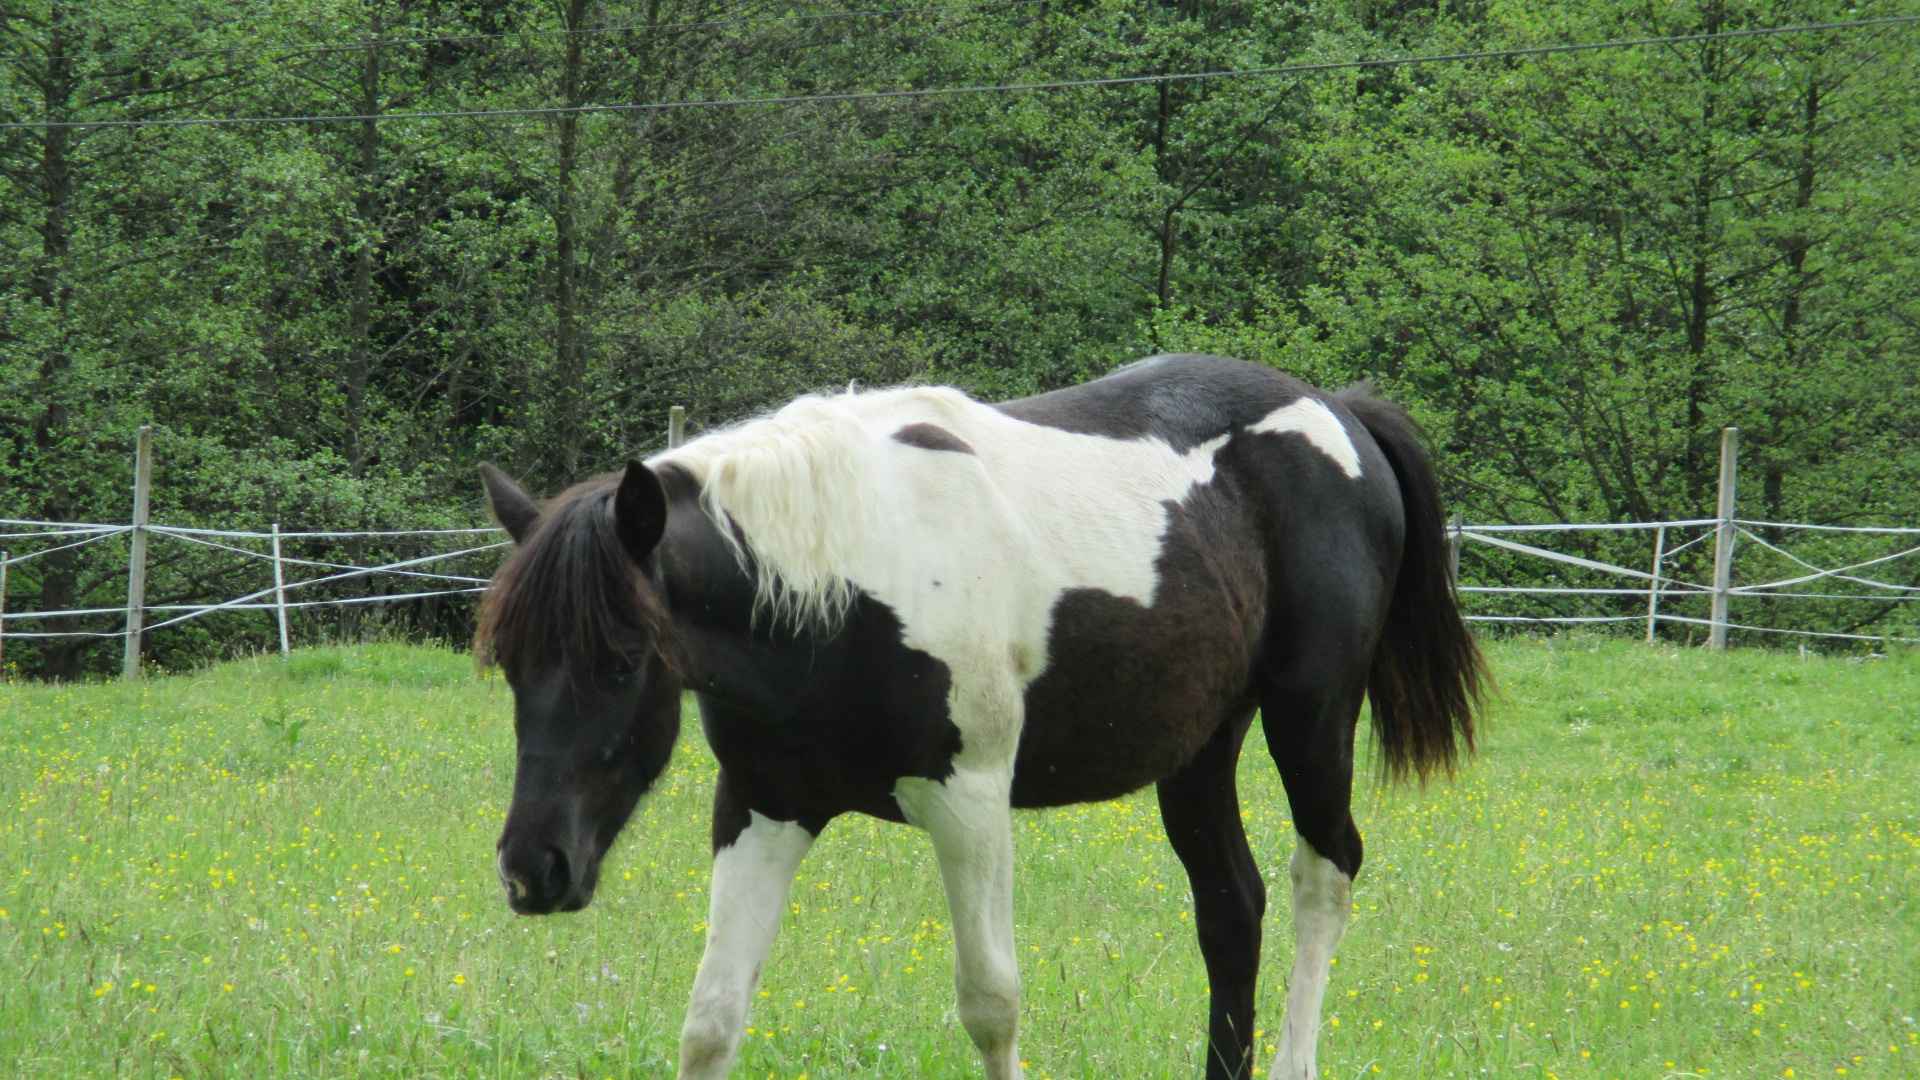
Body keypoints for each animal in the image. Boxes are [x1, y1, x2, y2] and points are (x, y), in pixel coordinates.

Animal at [476, 353, 1482, 1076]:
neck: (848, 575)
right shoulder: (765, 804)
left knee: (1324, 877)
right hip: (1200, 750)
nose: (533, 871)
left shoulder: (970, 803)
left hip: (1311, 716)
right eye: (511, 667)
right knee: (1232, 909)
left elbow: (992, 1004)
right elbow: (713, 1017)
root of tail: (1336, 409)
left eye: (620, 663)